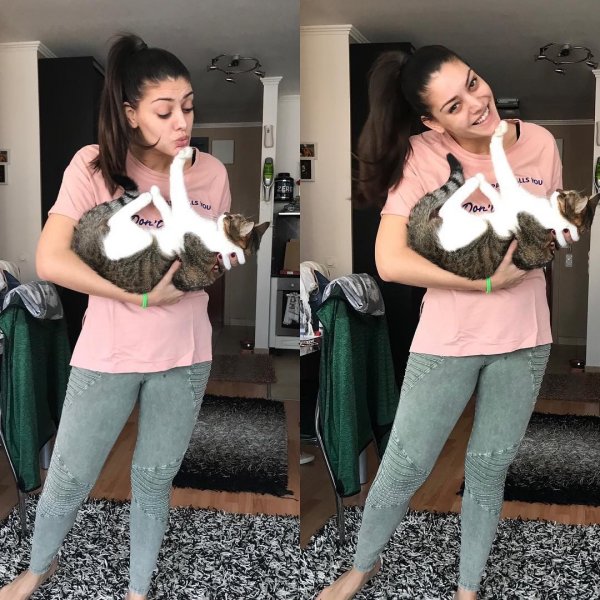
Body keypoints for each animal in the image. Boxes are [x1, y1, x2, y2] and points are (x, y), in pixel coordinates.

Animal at [72, 147, 270, 293]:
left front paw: (182, 156)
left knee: (118, 216)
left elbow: (176, 183)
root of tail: (83, 246)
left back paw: (146, 196)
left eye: (230, 217)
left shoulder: (181, 213)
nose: (226, 212)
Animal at [407, 121, 598, 280]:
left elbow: (499, 160)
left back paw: (475, 180)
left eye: (564, 195)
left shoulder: (510, 193)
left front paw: (500, 132)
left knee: (447, 206)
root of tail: (422, 244)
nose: (558, 190)